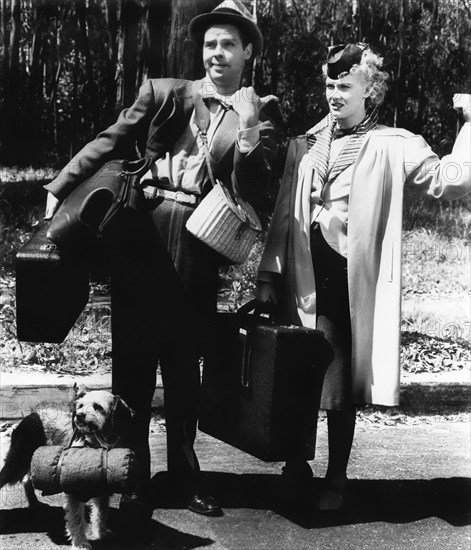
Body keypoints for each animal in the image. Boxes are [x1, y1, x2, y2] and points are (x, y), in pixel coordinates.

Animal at [0, 386, 135, 548]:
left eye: (98, 407)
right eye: (80, 405)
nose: (79, 416)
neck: (95, 443)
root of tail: (30, 415)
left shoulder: (103, 487)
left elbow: (101, 512)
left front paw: (100, 533)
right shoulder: (73, 491)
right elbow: (77, 519)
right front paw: (81, 543)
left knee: (27, 480)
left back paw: (34, 503)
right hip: (17, 464)